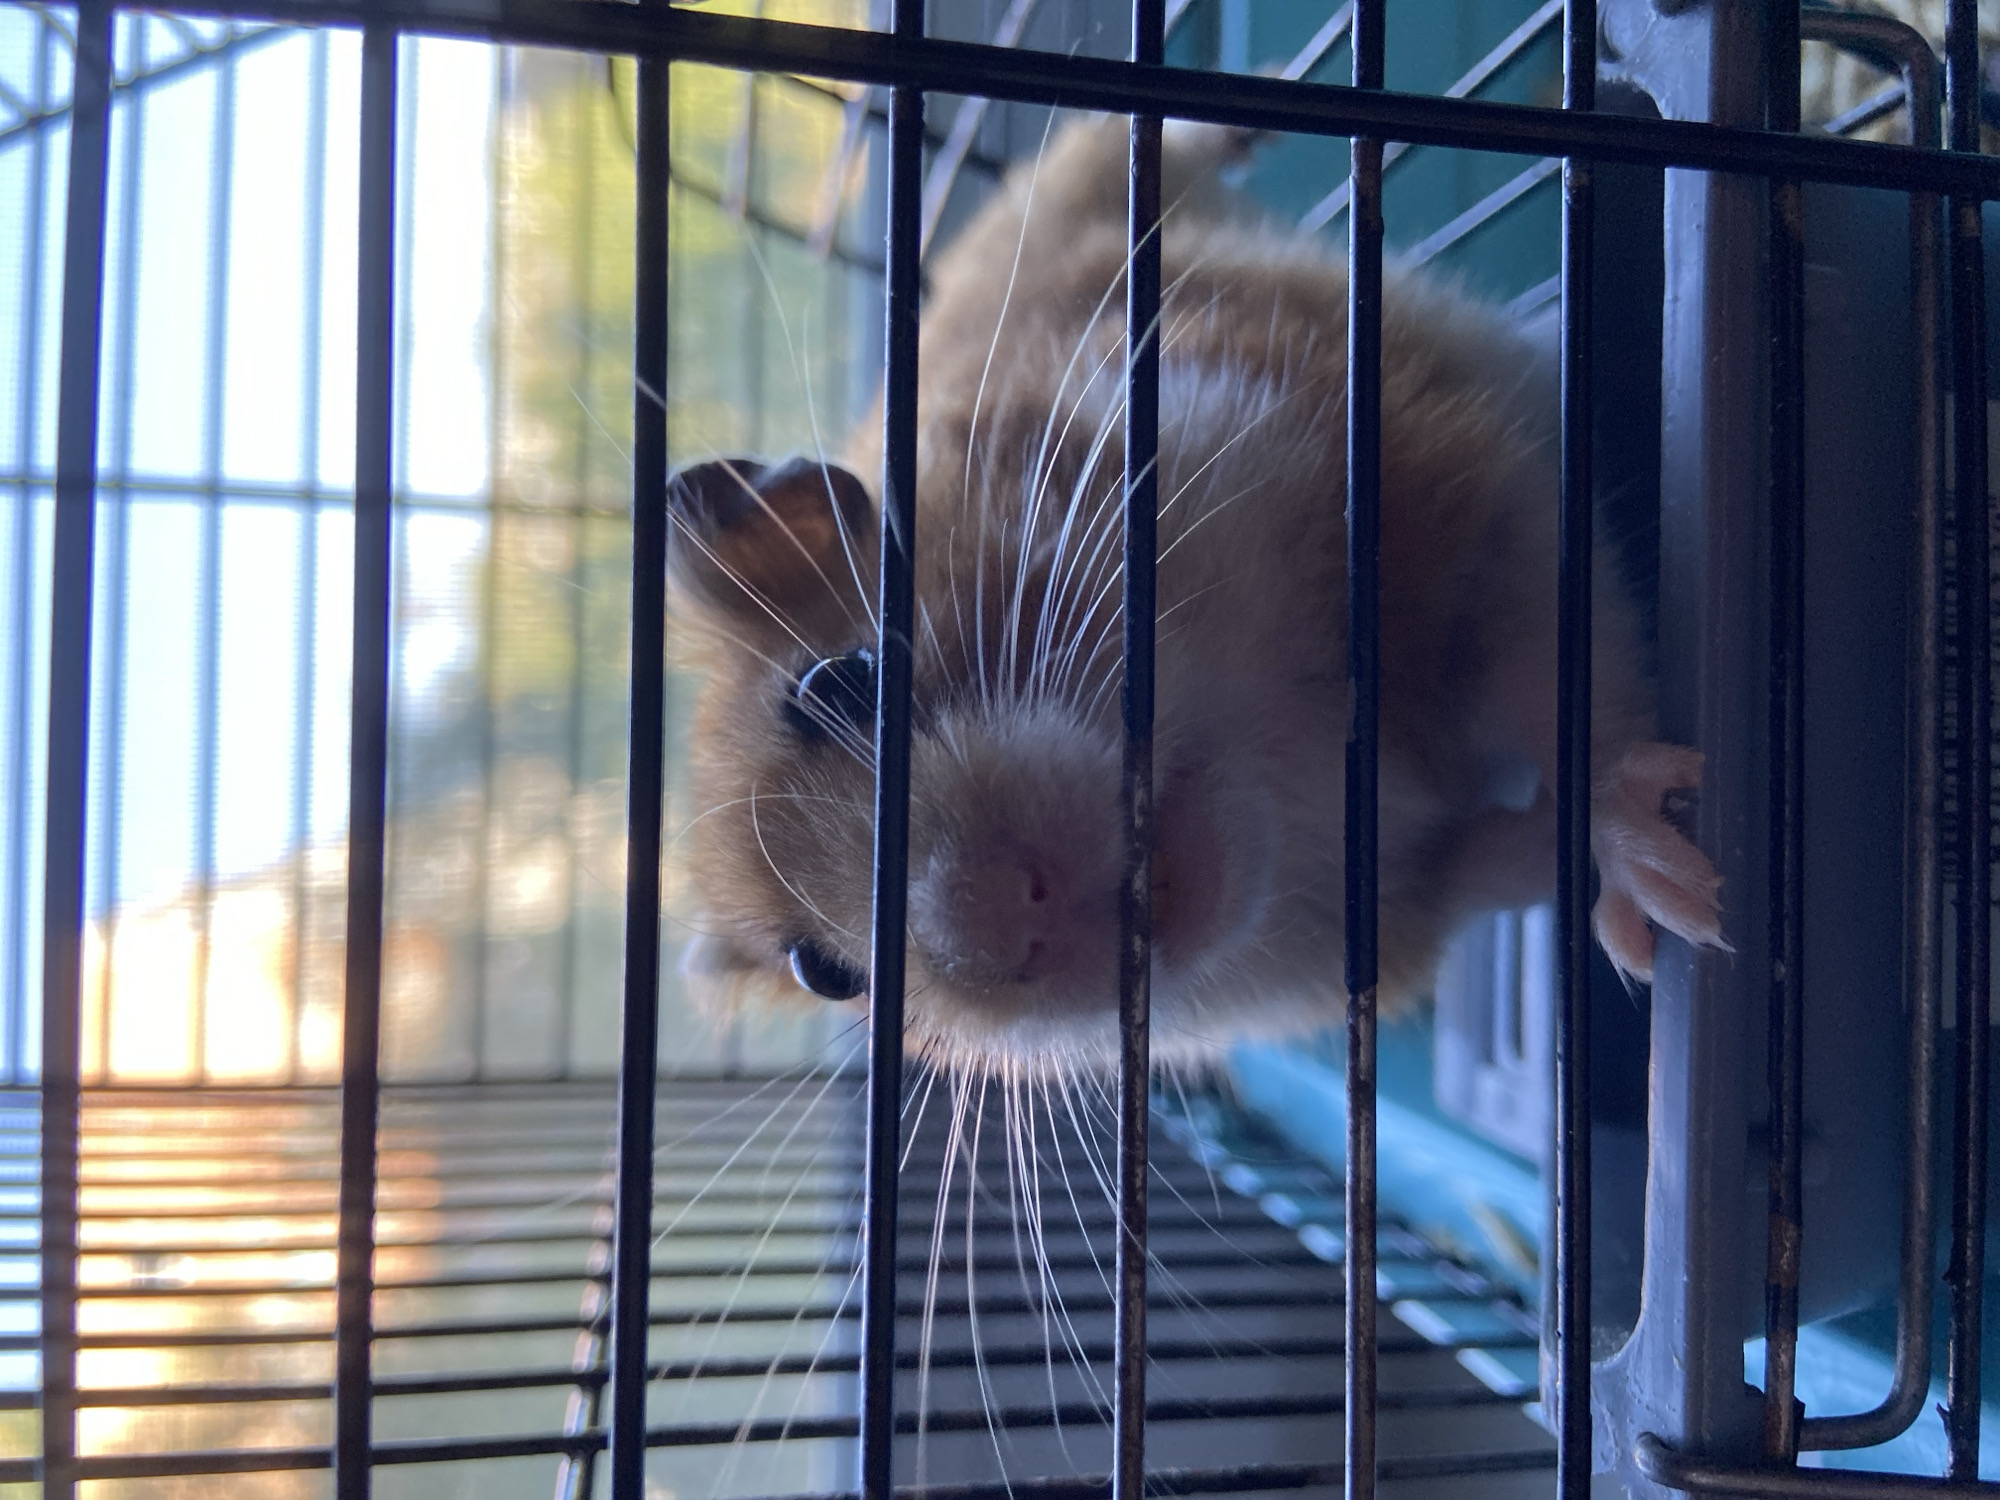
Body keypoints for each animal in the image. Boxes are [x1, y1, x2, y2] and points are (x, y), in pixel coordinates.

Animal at [665, 115, 1726, 1074]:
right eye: (826, 973)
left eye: (845, 682)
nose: (1012, 928)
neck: (1277, 764)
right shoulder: (1415, 900)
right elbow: (1508, 856)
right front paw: (1660, 899)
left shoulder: (1446, 490)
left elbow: (1567, 688)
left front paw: (1681, 901)